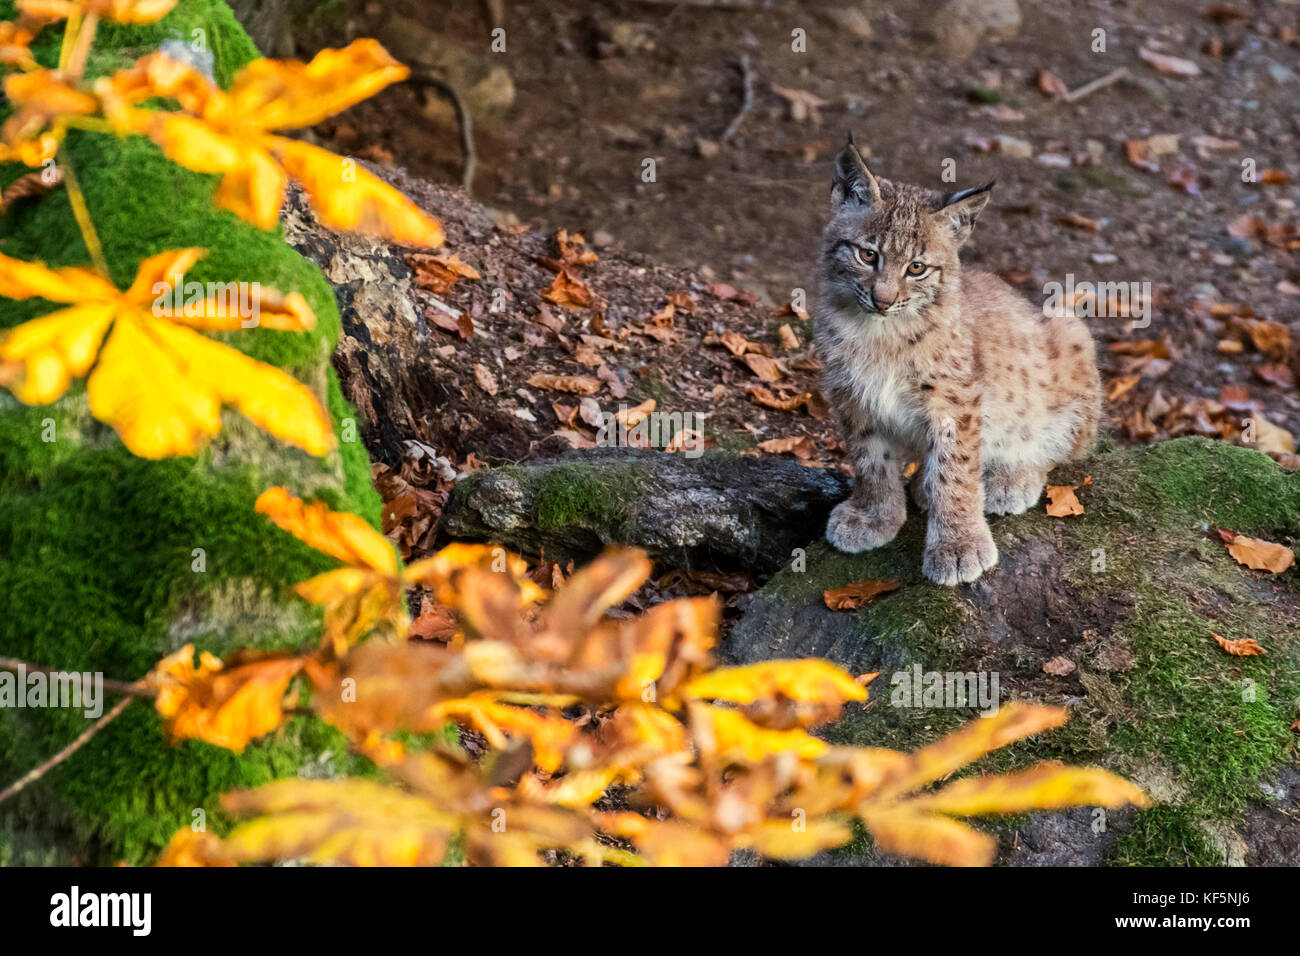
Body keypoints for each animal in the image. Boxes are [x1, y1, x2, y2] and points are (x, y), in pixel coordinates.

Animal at [816, 138, 1102, 587]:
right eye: (867, 255)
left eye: (917, 267)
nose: (882, 300)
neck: (879, 331)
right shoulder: (851, 394)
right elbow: (869, 460)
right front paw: (874, 516)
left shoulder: (955, 400)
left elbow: (956, 469)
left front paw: (958, 545)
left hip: (1070, 329)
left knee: (1061, 447)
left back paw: (1009, 478)